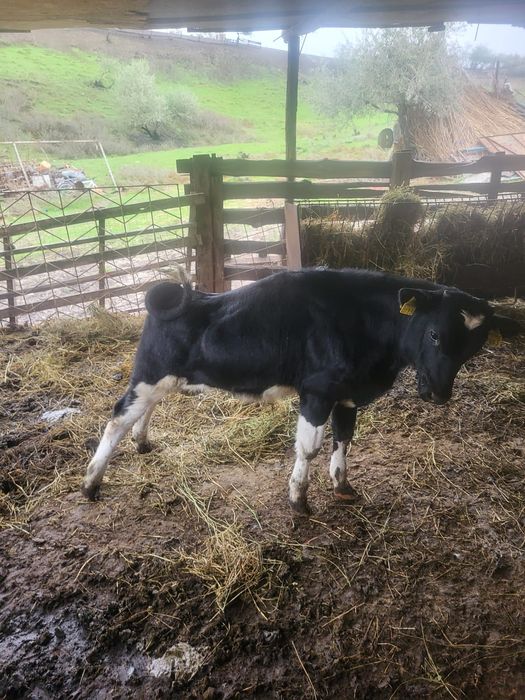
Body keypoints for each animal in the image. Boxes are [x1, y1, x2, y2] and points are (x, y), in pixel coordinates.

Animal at [81, 268, 520, 513]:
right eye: (433, 333)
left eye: (474, 347)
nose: (438, 394)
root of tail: (176, 292)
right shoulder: (317, 391)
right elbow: (309, 447)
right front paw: (299, 501)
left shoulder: (347, 393)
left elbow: (344, 439)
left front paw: (342, 487)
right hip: (148, 373)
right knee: (118, 418)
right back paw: (91, 482)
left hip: (166, 379)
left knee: (147, 410)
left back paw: (142, 443)